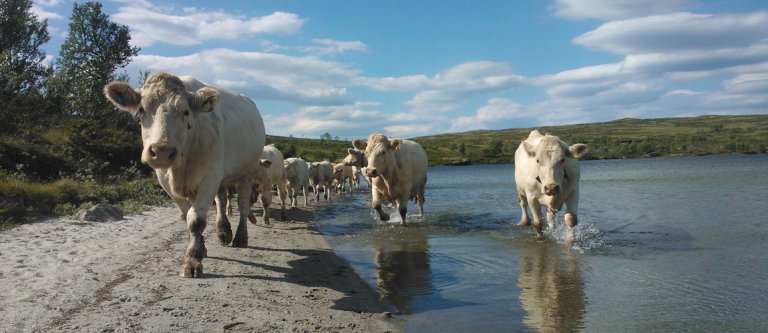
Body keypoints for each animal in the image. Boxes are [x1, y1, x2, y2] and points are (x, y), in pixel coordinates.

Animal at [105, 72, 266, 278]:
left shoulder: (209, 176)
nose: (162, 151)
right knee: (222, 201)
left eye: (185, 112)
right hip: (222, 177)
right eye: (141, 109)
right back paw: (223, 231)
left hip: (247, 171)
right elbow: (186, 214)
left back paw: (240, 237)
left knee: (243, 204)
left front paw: (192, 259)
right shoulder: (165, 178)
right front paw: (201, 248)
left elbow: (196, 219)